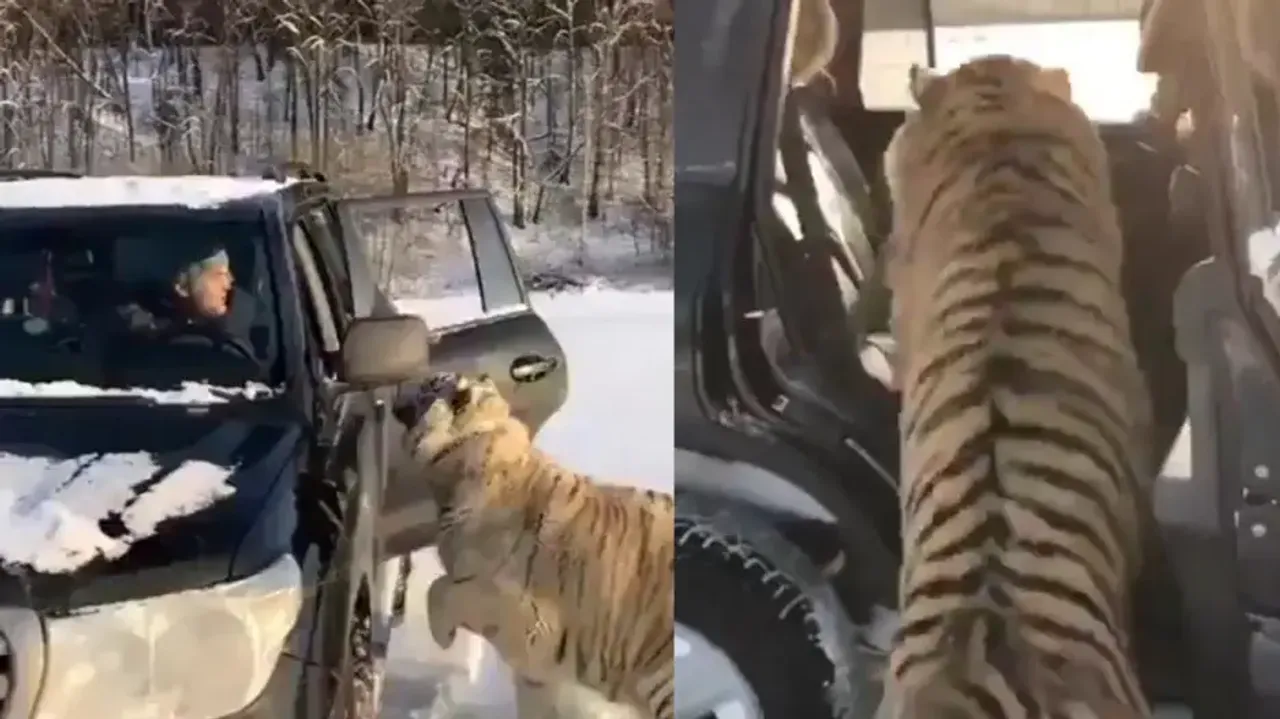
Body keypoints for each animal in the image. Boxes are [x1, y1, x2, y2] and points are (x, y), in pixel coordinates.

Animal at [401, 374, 675, 719]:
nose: (403, 386)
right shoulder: (537, 672)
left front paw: (442, 636)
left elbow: (440, 590)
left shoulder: (530, 619)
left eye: (429, 384)